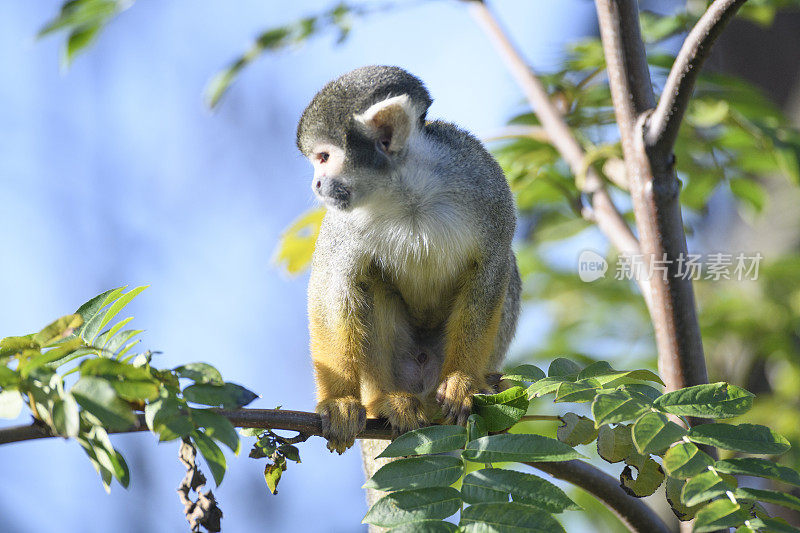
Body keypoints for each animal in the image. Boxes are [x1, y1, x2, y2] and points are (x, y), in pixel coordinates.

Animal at [296, 65, 520, 454]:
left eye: (323, 157)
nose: (318, 185)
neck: (405, 189)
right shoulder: (343, 217)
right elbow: (331, 286)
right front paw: (338, 401)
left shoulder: (483, 176)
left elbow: (492, 263)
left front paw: (462, 380)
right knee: (367, 284)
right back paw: (386, 402)